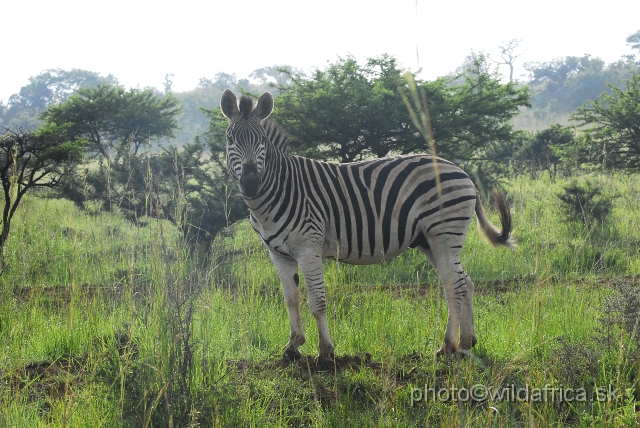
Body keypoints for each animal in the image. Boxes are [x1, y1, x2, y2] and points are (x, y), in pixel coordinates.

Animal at [220, 89, 516, 364]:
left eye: (261, 141)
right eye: (230, 140)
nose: (250, 183)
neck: (278, 190)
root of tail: (462, 172)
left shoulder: (308, 247)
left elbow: (317, 301)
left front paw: (325, 352)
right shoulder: (278, 253)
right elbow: (291, 300)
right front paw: (293, 346)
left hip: (444, 233)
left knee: (454, 285)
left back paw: (447, 348)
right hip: (429, 240)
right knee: (464, 283)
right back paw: (465, 343)